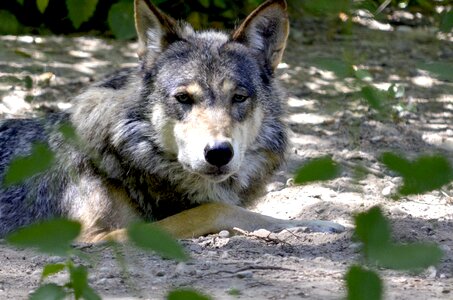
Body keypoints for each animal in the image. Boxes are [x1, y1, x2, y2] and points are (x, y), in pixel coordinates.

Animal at [0, 0, 340, 241]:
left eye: (239, 98)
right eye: (183, 98)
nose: (218, 153)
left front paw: (316, 222)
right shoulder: (92, 237)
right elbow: (214, 209)